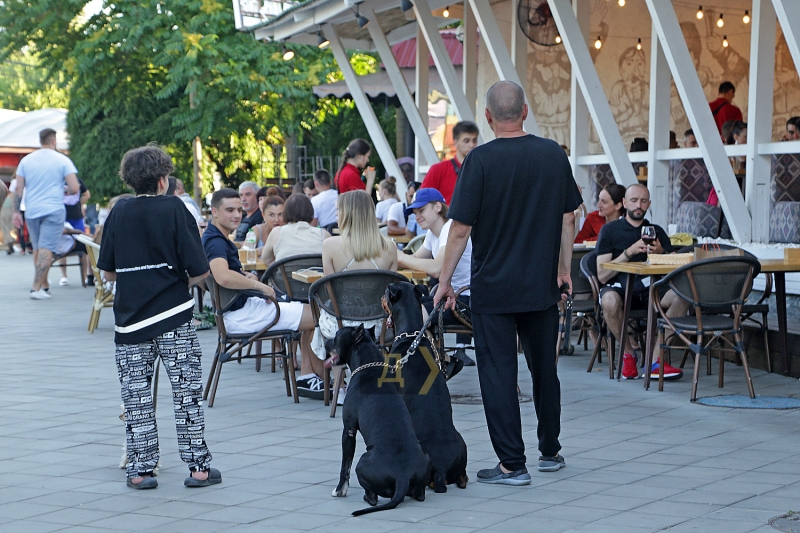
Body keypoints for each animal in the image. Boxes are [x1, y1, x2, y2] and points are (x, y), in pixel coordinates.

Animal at [330, 324, 434, 516]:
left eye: (336, 336)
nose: (325, 341)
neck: (368, 368)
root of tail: (402, 476)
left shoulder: (348, 430)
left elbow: (345, 465)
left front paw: (340, 490)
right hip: (426, 459)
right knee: (420, 493)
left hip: (362, 463)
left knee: (372, 497)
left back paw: (367, 497)